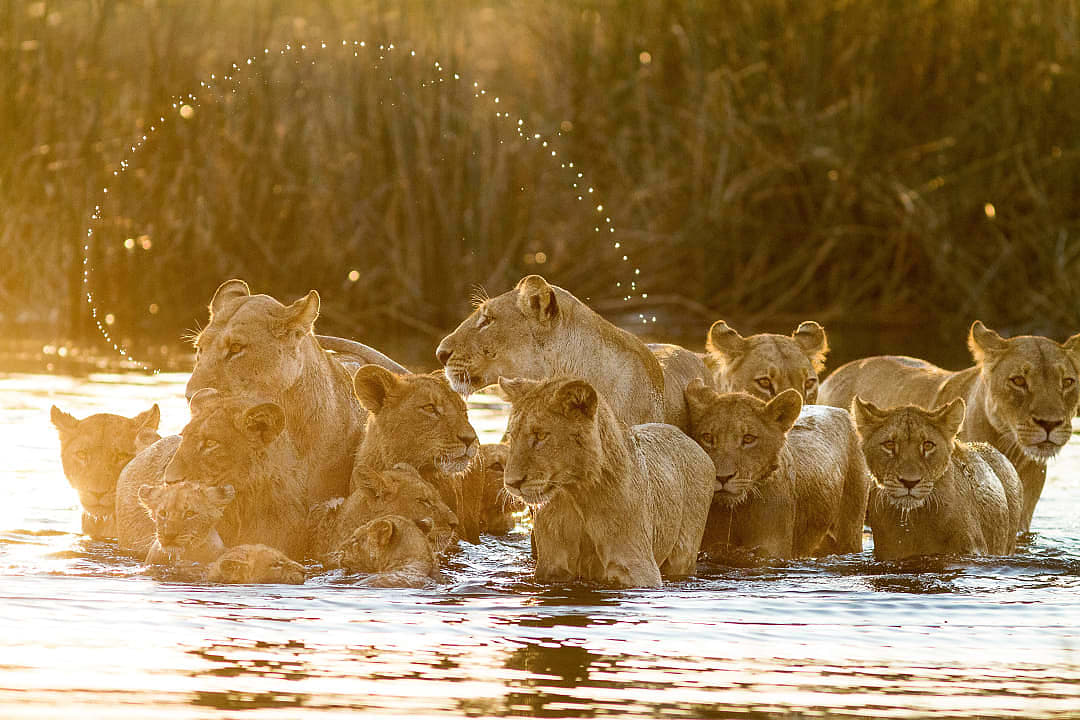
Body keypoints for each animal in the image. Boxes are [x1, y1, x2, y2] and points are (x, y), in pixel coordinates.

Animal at [497, 376, 714, 588]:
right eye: (512, 435)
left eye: (541, 435)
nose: (512, 483)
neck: (577, 496)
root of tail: (687, 437)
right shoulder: (552, 568)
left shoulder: (638, 569)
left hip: (683, 555)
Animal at [684, 382, 869, 560]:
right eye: (708, 437)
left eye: (748, 438)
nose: (723, 477)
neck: (736, 513)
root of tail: (838, 409)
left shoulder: (771, 551)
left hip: (850, 530)